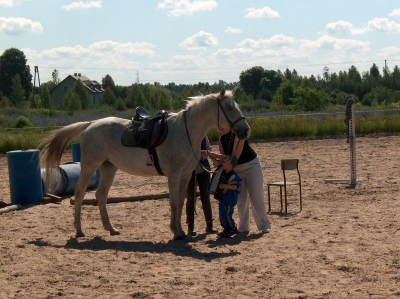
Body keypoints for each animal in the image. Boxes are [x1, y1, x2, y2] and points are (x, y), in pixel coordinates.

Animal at [39, 88, 248, 240]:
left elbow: (181, 202)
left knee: (101, 196)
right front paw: (176, 232)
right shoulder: (174, 174)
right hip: (89, 167)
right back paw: (79, 230)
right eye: (229, 107)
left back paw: (111, 229)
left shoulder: (186, 175)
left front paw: (180, 230)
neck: (186, 131)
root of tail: (90, 124)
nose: (245, 131)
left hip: (109, 168)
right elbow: (174, 202)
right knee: (80, 194)